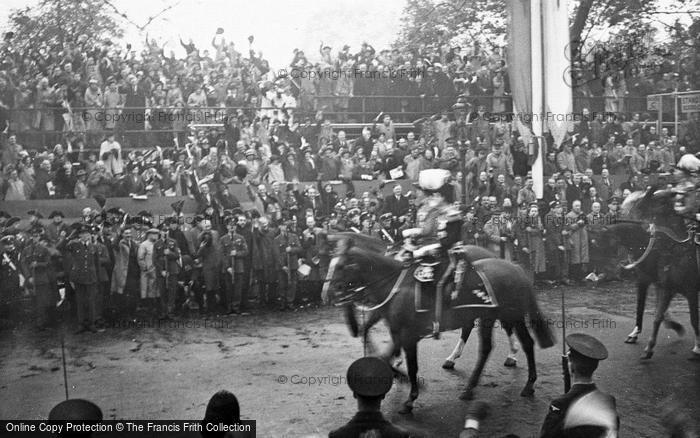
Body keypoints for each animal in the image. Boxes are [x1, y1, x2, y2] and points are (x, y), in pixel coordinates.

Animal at [324, 234, 556, 412]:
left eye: (341, 266)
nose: (326, 294)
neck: (396, 285)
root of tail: (515, 268)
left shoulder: (407, 334)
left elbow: (409, 364)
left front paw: (409, 395)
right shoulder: (396, 329)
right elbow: (383, 352)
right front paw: (398, 374)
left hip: (508, 315)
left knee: (507, 343)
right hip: (494, 316)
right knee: (506, 345)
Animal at [616, 189, 700, 360]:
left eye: (640, 206)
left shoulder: (690, 289)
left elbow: (694, 318)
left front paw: (696, 347)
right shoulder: (658, 284)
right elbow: (655, 314)